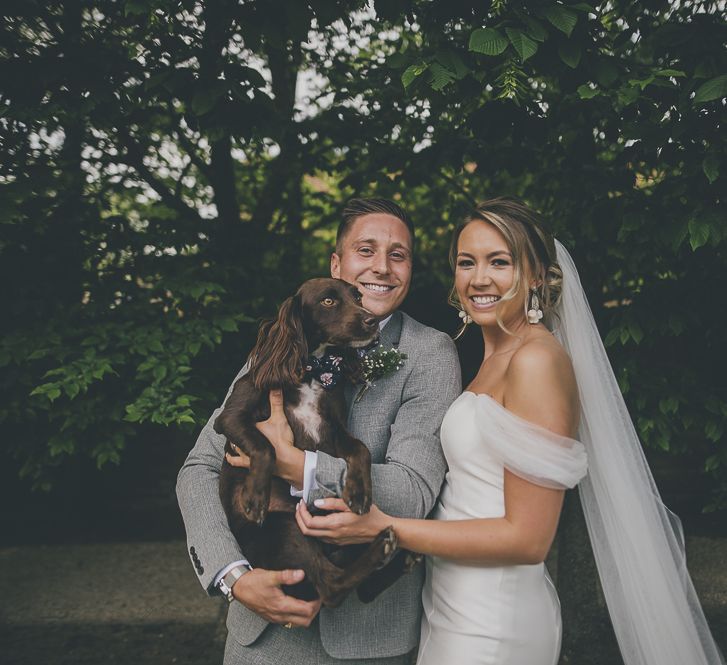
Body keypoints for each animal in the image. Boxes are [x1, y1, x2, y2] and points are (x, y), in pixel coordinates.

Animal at [215, 278, 404, 604]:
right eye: (328, 301)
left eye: (358, 296)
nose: (371, 320)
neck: (313, 371)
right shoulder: (230, 418)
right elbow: (265, 446)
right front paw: (255, 497)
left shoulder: (334, 430)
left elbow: (361, 449)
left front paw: (359, 491)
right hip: (284, 527)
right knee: (331, 586)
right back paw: (384, 548)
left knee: (352, 587)